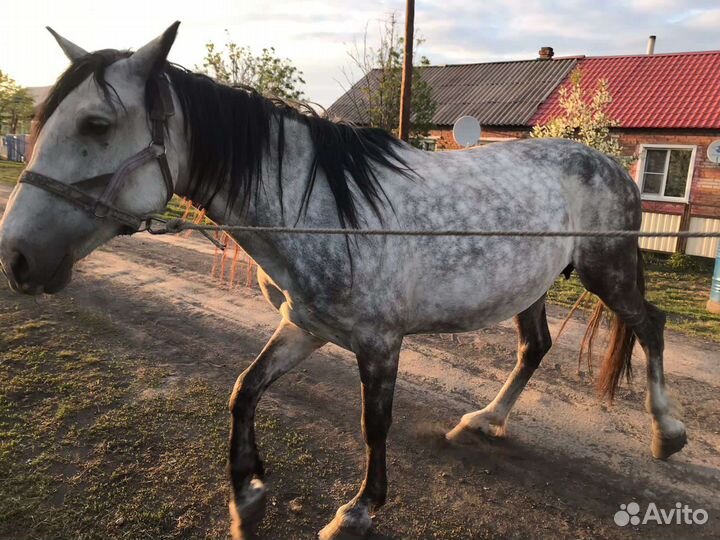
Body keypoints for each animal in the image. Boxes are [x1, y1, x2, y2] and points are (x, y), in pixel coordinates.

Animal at [0, 22, 687, 540]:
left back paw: (667, 432)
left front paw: (358, 509)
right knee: (534, 347)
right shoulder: (303, 326)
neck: (324, 208)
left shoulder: (379, 344)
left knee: (650, 326)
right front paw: (247, 497)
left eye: (95, 125)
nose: (16, 257)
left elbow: (372, 425)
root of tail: (611, 163)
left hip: (606, 270)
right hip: (532, 287)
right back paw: (483, 420)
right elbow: (244, 391)